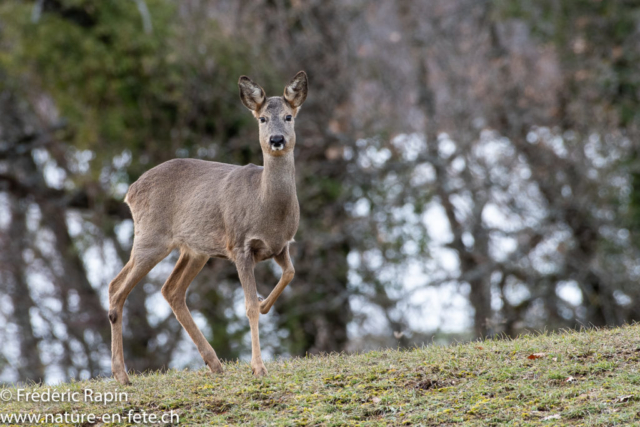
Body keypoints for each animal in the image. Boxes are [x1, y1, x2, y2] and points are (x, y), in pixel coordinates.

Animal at [107, 70, 308, 384]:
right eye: (262, 118)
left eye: (289, 116)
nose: (276, 139)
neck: (266, 207)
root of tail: (130, 191)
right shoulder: (239, 245)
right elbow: (248, 307)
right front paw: (258, 367)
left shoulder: (281, 245)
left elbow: (290, 274)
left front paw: (264, 302)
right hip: (151, 237)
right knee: (118, 288)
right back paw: (122, 375)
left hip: (194, 250)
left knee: (170, 290)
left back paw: (214, 363)